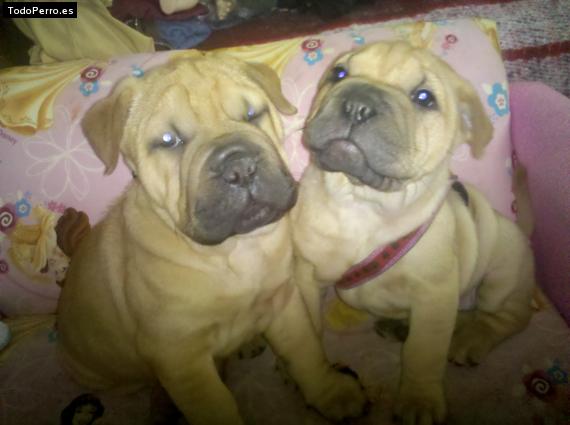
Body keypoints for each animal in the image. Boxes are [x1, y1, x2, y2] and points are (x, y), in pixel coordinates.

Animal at [57, 53, 367, 425]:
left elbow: (305, 352)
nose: (241, 168)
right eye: (168, 141)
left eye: (251, 114)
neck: (235, 250)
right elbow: (217, 406)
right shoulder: (181, 358)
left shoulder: (284, 302)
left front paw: (331, 392)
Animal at [292, 41, 535, 424]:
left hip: (502, 271)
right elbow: (309, 332)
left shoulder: (434, 292)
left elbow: (425, 351)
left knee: (506, 317)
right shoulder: (306, 276)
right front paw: (319, 380)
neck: (362, 203)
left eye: (424, 98)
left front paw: (419, 400)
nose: (358, 103)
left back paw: (471, 338)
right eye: (339, 74)